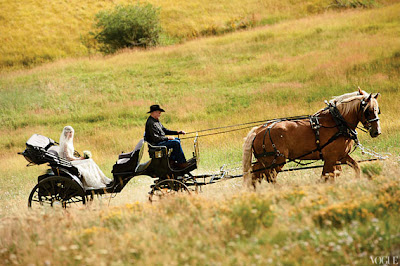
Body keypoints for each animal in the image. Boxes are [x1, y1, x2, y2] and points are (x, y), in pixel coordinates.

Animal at [242, 88, 382, 188]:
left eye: (377, 110)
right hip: (276, 160)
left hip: (265, 160)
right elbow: (327, 176)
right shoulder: (331, 158)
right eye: (368, 111)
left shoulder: (341, 156)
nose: (377, 132)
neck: (338, 122)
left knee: (256, 174)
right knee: (269, 177)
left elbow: (355, 167)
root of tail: (259, 131)